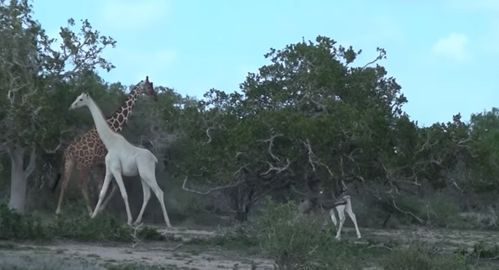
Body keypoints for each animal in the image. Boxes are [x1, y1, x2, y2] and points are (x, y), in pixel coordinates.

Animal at [55, 76, 157, 215]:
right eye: (149, 86)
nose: (155, 96)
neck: (113, 125)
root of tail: (68, 151)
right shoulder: (102, 162)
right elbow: (109, 187)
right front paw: (102, 210)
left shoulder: (99, 164)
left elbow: (104, 187)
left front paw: (101, 210)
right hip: (84, 165)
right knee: (81, 184)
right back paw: (87, 210)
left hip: (70, 163)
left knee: (65, 182)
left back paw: (59, 210)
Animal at [69, 92, 173, 227]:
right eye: (77, 98)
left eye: (81, 99)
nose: (72, 106)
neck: (109, 143)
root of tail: (154, 160)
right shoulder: (108, 170)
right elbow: (102, 193)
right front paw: (93, 216)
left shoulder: (116, 169)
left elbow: (124, 193)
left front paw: (128, 220)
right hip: (142, 176)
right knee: (147, 195)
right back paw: (138, 221)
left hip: (147, 173)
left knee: (159, 192)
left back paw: (168, 223)